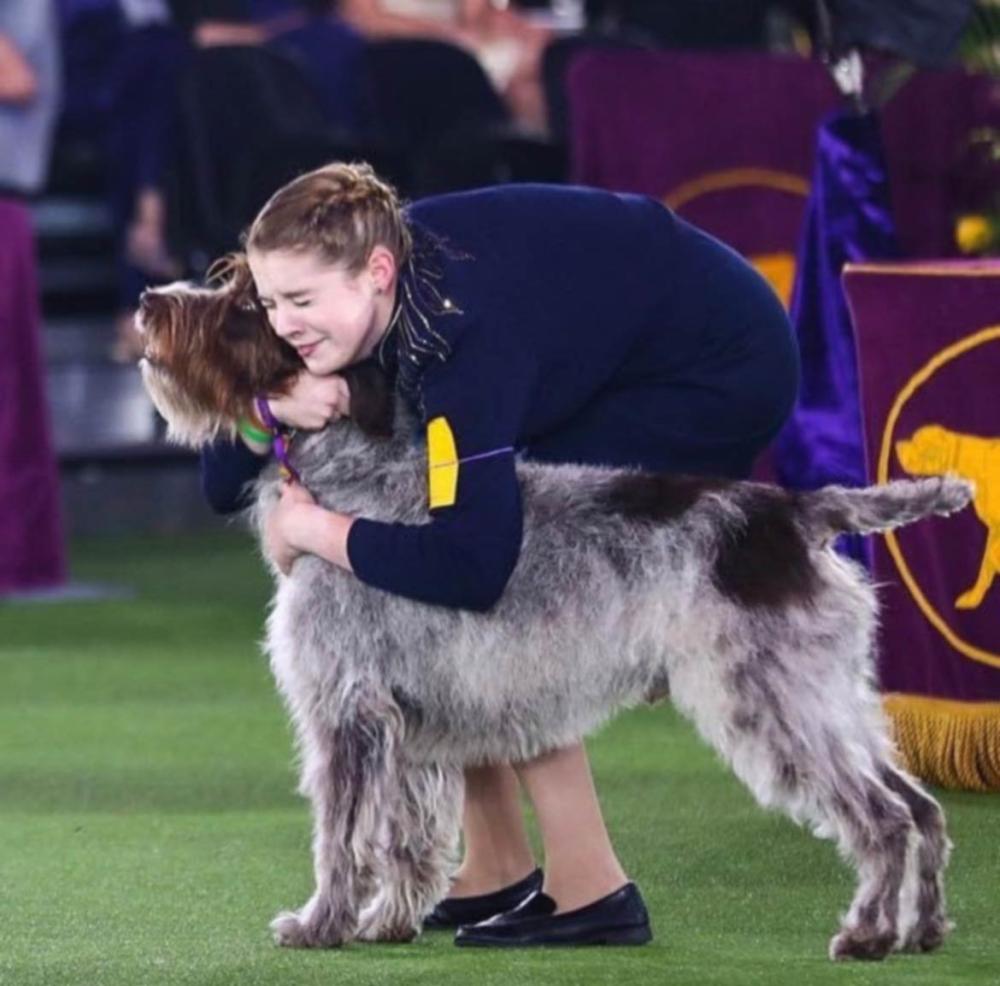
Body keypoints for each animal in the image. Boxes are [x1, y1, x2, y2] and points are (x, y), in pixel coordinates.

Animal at [137, 284, 972, 960]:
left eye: (249, 306)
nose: (147, 299)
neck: (357, 476)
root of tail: (800, 510)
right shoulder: (407, 723)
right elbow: (406, 836)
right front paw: (390, 921)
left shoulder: (346, 710)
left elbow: (341, 837)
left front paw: (322, 924)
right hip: (829, 699)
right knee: (922, 808)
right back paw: (925, 930)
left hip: (773, 705)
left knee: (884, 819)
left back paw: (868, 934)